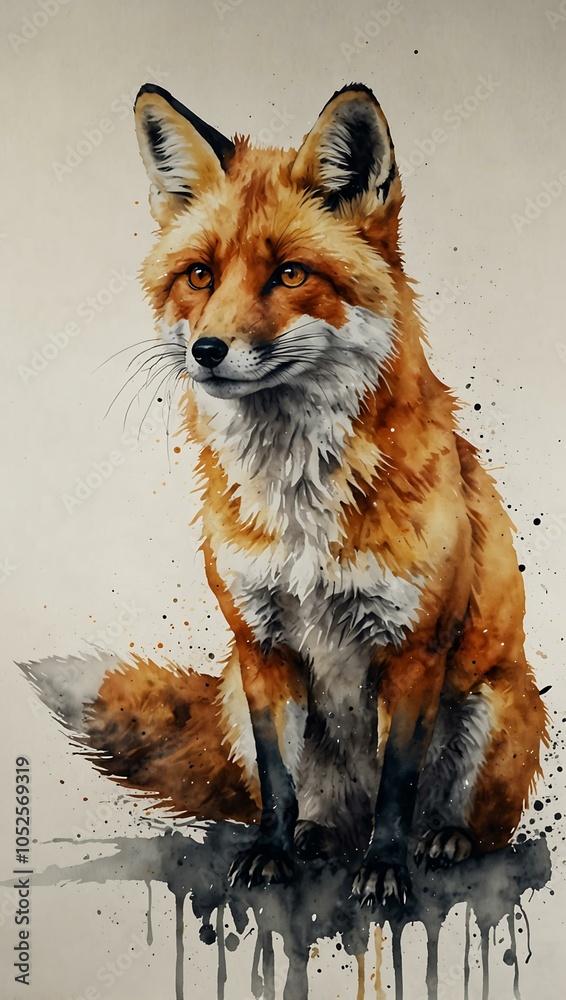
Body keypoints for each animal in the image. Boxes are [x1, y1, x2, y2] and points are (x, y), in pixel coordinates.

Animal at [27, 82, 548, 907]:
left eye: (291, 275)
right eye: (199, 276)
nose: (208, 350)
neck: (300, 500)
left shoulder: (413, 647)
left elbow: (398, 783)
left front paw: (386, 870)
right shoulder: (261, 643)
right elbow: (277, 782)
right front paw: (271, 853)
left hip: (495, 702)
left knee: (463, 814)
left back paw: (442, 840)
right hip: (236, 700)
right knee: (318, 803)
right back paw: (320, 836)